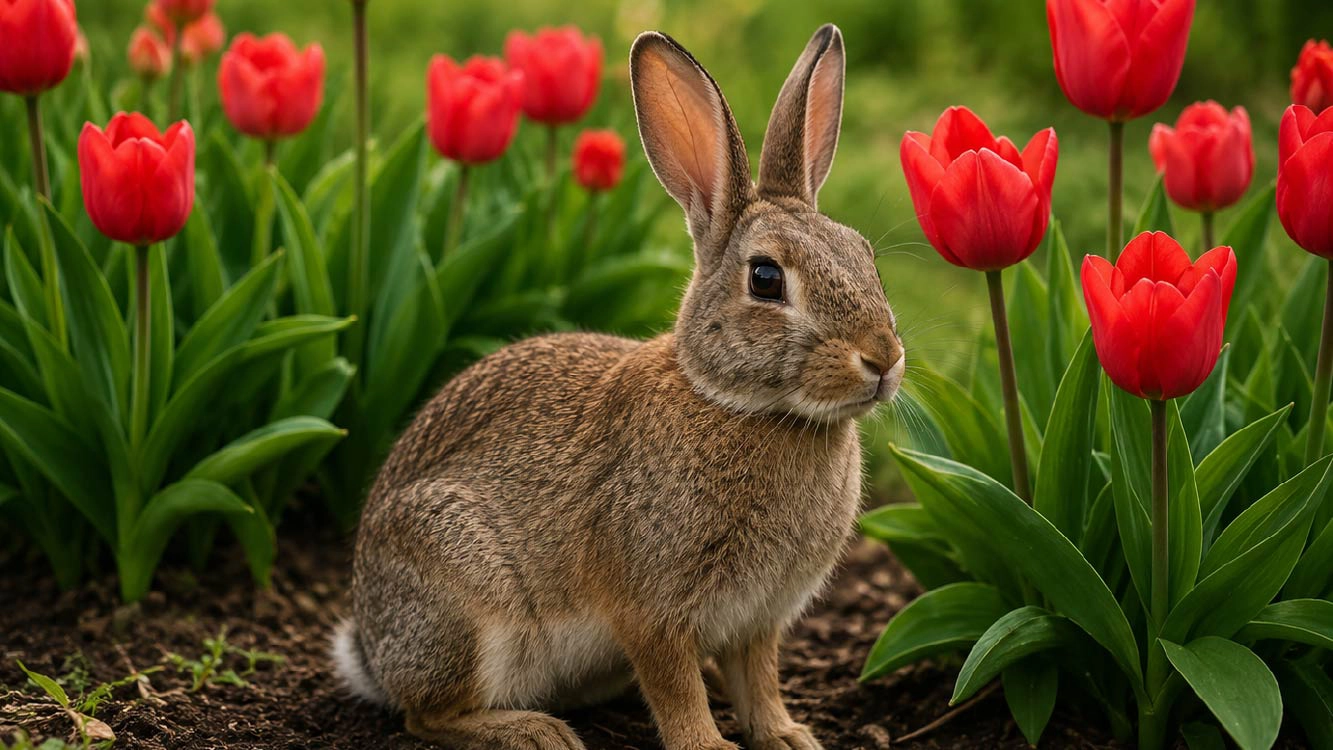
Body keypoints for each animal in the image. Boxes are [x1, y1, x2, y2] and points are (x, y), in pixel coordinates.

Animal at [333, 23, 905, 750]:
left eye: (865, 256)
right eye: (766, 279)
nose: (883, 359)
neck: (745, 406)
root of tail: (371, 651)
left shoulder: (759, 619)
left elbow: (760, 679)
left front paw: (784, 736)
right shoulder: (651, 607)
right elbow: (674, 684)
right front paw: (707, 744)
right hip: (462, 597)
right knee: (424, 714)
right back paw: (532, 731)